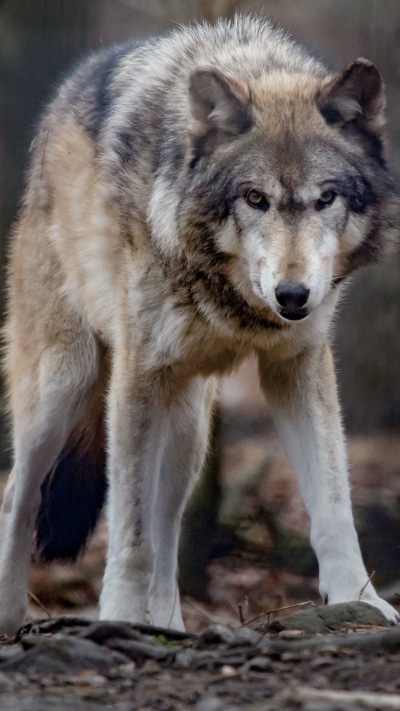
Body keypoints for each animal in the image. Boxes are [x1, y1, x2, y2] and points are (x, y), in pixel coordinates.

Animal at [0, 15, 399, 635]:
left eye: (326, 198)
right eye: (254, 198)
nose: (293, 296)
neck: (230, 297)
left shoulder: (298, 365)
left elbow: (334, 507)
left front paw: (362, 601)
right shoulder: (136, 379)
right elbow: (129, 532)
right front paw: (118, 616)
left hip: (189, 426)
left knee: (168, 533)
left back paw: (168, 627)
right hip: (65, 388)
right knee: (18, 493)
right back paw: (12, 616)